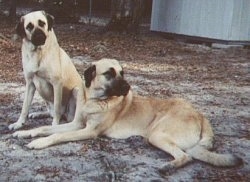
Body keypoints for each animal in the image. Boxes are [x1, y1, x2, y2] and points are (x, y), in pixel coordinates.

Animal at [13, 58, 242, 169]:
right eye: (109, 73)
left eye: (123, 73)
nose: (128, 86)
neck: (95, 100)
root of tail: (201, 116)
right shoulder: (77, 124)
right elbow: (46, 127)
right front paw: (25, 132)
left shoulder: (87, 131)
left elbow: (57, 135)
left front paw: (38, 143)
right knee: (189, 154)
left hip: (157, 135)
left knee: (186, 156)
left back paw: (167, 167)